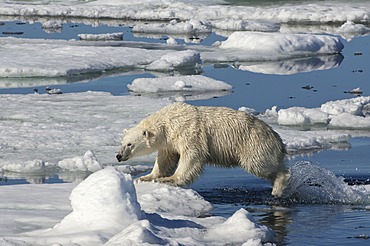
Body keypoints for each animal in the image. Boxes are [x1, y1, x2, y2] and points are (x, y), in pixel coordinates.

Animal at [117, 102, 290, 196]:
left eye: (129, 144)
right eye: (122, 142)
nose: (118, 156)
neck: (168, 122)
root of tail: (278, 140)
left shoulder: (188, 131)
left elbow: (192, 155)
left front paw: (169, 179)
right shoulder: (169, 142)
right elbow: (165, 159)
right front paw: (145, 177)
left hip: (253, 144)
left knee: (260, 164)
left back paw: (278, 186)